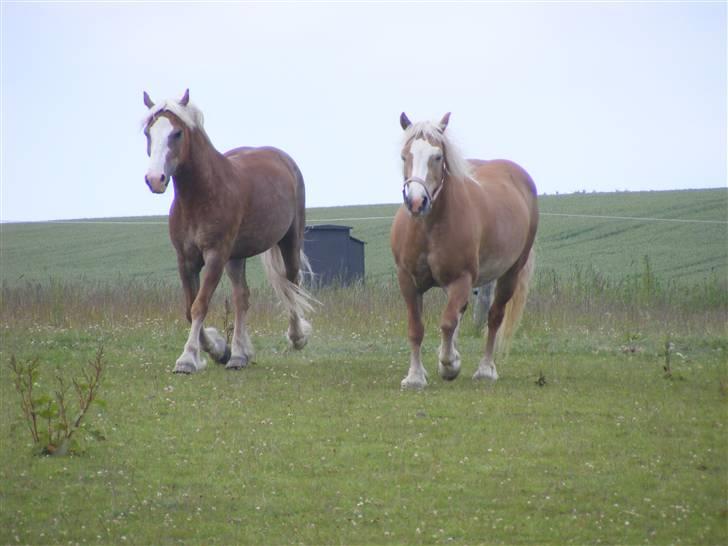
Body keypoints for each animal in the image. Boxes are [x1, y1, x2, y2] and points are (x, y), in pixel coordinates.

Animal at [141, 89, 314, 372]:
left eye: (177, 133)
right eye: (148, 132)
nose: (155, 179)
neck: (199, 197)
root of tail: (282, 157)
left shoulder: (215, 256)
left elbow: (200, 305)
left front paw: (187, 358)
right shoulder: (185, 260)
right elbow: (189, 308)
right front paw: (218, 350)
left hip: (289, 241)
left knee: (291, 284)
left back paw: (297, 337)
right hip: (236, 257)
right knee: (242, 298)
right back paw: (239, 355)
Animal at [390, 111, 536, 386]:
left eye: (437, 156)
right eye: (404, 156)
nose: (416, 202)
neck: (429, 228)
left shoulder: (461, 279)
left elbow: (447, 322)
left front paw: (449, 365)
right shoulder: (408, 280)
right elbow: (416, 328)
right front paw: (415, 376)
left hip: (510, 274)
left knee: (494, 317)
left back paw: (486, 369)